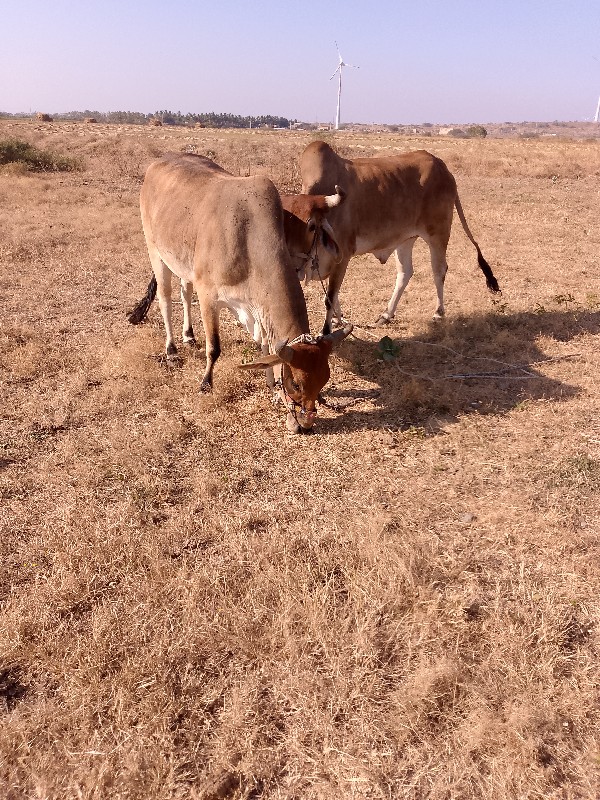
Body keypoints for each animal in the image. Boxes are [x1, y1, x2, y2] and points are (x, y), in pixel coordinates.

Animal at [126, 154, 352, 434]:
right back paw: (172, 349)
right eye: (296, 384)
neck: (247, 239)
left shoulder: (257, 307)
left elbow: (265, 346)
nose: (306, 424)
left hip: (183, 264)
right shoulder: (209, 297)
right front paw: (206, 383)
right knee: (166, 299)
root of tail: (159, 162)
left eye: (324, 380)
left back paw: (189, 335)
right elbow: (214, 348)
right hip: (156, 253)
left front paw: (270, 384)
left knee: (185, 292)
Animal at [300, 141, 502, 334]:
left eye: (310, 226)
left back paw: (438, 313)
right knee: (405, 272)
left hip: (438, 233)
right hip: (405, 239)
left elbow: (330, 297)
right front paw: (337, 318)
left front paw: (326, 331)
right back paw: (386, 315)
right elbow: (332, 294)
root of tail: (443, 168)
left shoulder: (343, 255)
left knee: (439, 269)